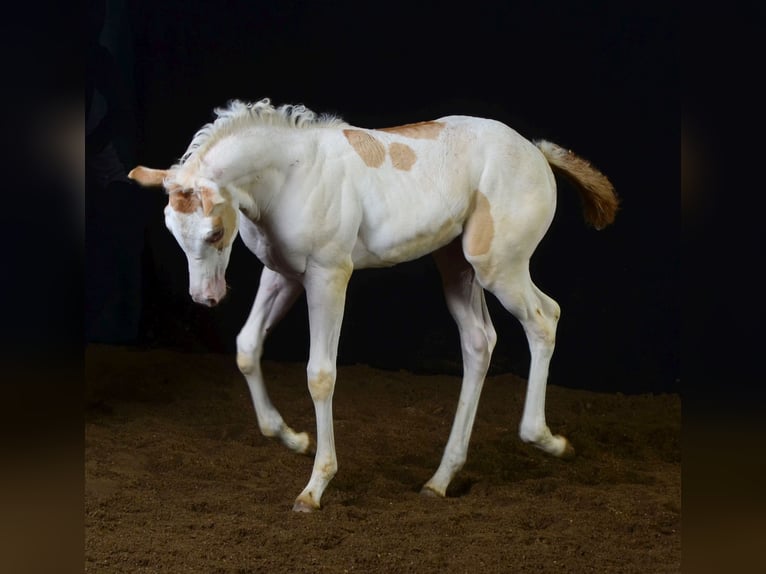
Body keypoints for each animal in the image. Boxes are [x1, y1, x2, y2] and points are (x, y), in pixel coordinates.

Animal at [129, 99, 620, 512]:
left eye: (213, 232)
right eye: (172, 229)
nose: (206, 297)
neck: (292, 175)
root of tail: (537, 152)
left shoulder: (328, 276)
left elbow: (320, 375)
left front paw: (315, 487)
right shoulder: (283, 275)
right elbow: (248, 346)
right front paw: (293, 438)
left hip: (498, 265)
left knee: (544, 318)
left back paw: (546, 439)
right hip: (456, 265)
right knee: (480, 341)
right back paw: (440, 479)